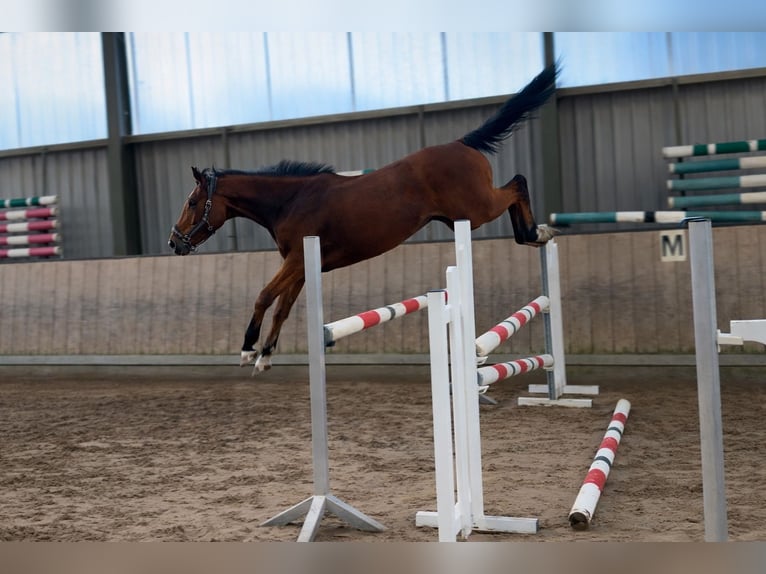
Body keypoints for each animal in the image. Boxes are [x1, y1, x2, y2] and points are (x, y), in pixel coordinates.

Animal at [169, 63, 559, 373]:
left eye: (192, 202)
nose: (174, 242)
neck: (291, 201)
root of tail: (463, 144)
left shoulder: (295, 261)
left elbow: (264, 297)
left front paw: (248, 349)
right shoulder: (302, 265)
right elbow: (282, 308)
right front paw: (265, 356)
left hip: (475, 211)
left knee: (517, 184)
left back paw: (536, 232)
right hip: (465, 215)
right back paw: (537, 233)